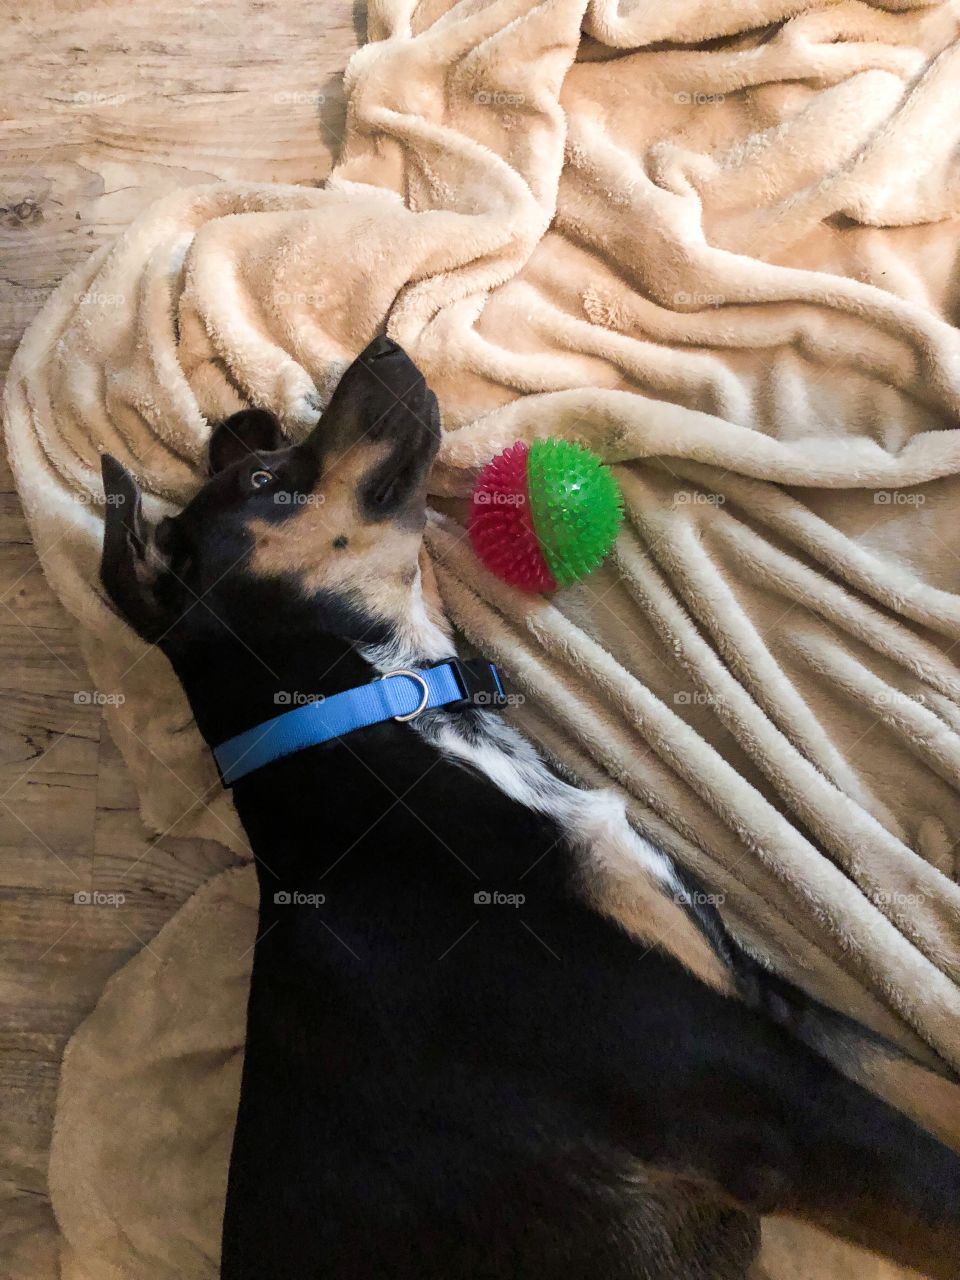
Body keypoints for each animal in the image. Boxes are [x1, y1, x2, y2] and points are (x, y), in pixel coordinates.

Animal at [99, 335, 960, 1274]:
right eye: (263, 480)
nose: (384, 344)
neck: (401, 715)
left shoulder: (764, 998)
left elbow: (927, 1080)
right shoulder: (751, 1097)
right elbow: (932, 1178)